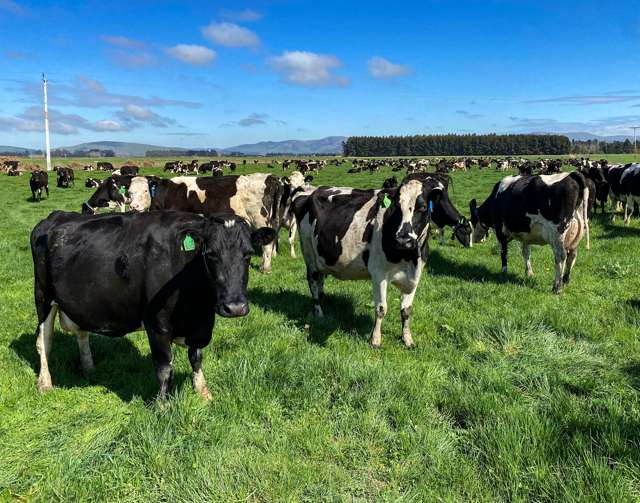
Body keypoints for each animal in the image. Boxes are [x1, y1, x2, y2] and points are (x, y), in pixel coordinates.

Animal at [30, 211, 276, 400]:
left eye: (248, 254)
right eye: (211, 254)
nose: (235, 307)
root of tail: (56, 216)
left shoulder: (201, 324)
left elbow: (196, 357)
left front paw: (203, 393)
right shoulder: (157, 324)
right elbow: (165, 367)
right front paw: (163, 405)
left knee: (81, 332)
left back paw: (89, 367)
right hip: (42, 295)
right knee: (44, 341)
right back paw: (45, 383)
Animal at [126, 174, 282, 276]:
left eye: (145, 191)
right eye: (130, 192)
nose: (134, 206)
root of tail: (270, 177)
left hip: (260, 219)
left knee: (267, 245)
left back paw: (265, 268)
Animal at [292, 176, 442, 346]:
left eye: (422, 207)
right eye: (396, 207)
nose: (404, 240)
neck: (409, 258)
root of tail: (309, 189)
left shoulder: (414, 277)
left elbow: (406, 310)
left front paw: (407, 339)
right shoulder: (379, 274)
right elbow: (381, 308)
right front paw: (375, 339)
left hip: (321, 258)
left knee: (320, 282)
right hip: (309, 255)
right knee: (313, 284)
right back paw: (319, 313)